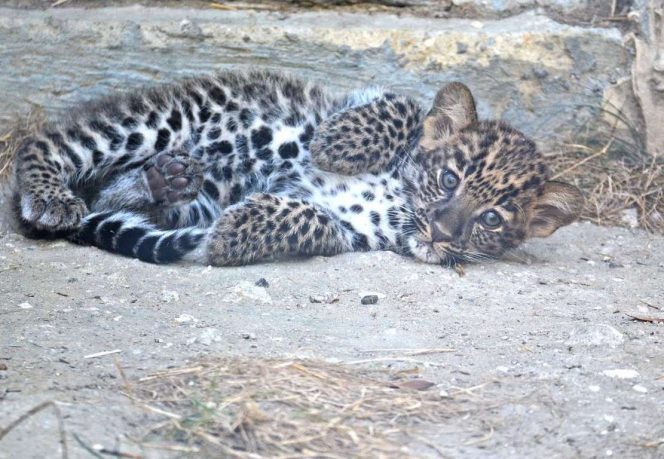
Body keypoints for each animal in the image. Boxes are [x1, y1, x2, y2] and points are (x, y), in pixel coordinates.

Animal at [11, 70, 584, 267]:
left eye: (491, 219)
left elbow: (308, 220)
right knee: (45, 147)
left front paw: (231, 234)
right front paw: (335, 146)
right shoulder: (360, 97)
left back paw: (162, 180)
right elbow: (400, 106)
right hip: (164, 119)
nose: (442, 232)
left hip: (188, 194)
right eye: (449, 179)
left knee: (110, 195)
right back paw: (52, 198)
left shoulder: (348, 231)